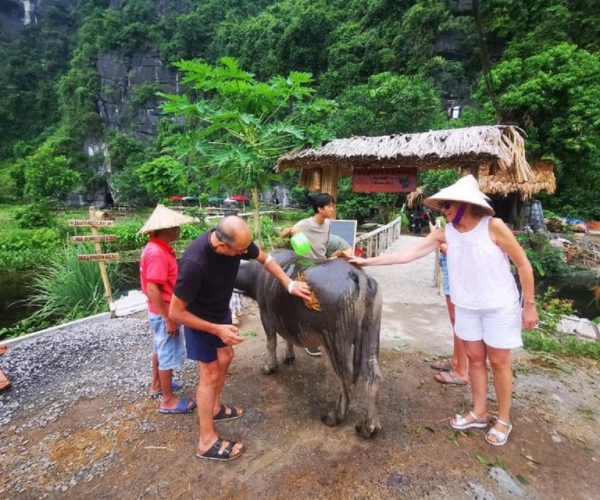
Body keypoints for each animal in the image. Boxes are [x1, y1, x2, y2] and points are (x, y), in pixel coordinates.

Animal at [236, 250, 384, 438]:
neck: (258, 274)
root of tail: (358, 275)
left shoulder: (266, 315)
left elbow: (271, 343)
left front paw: (269, 367)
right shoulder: (285, 319)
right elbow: (287, 337)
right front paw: (289, 357)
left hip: (336, 340)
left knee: (347, 379)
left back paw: (334, 417)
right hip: (371, 332)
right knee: (373, 376)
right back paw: (368, 427)